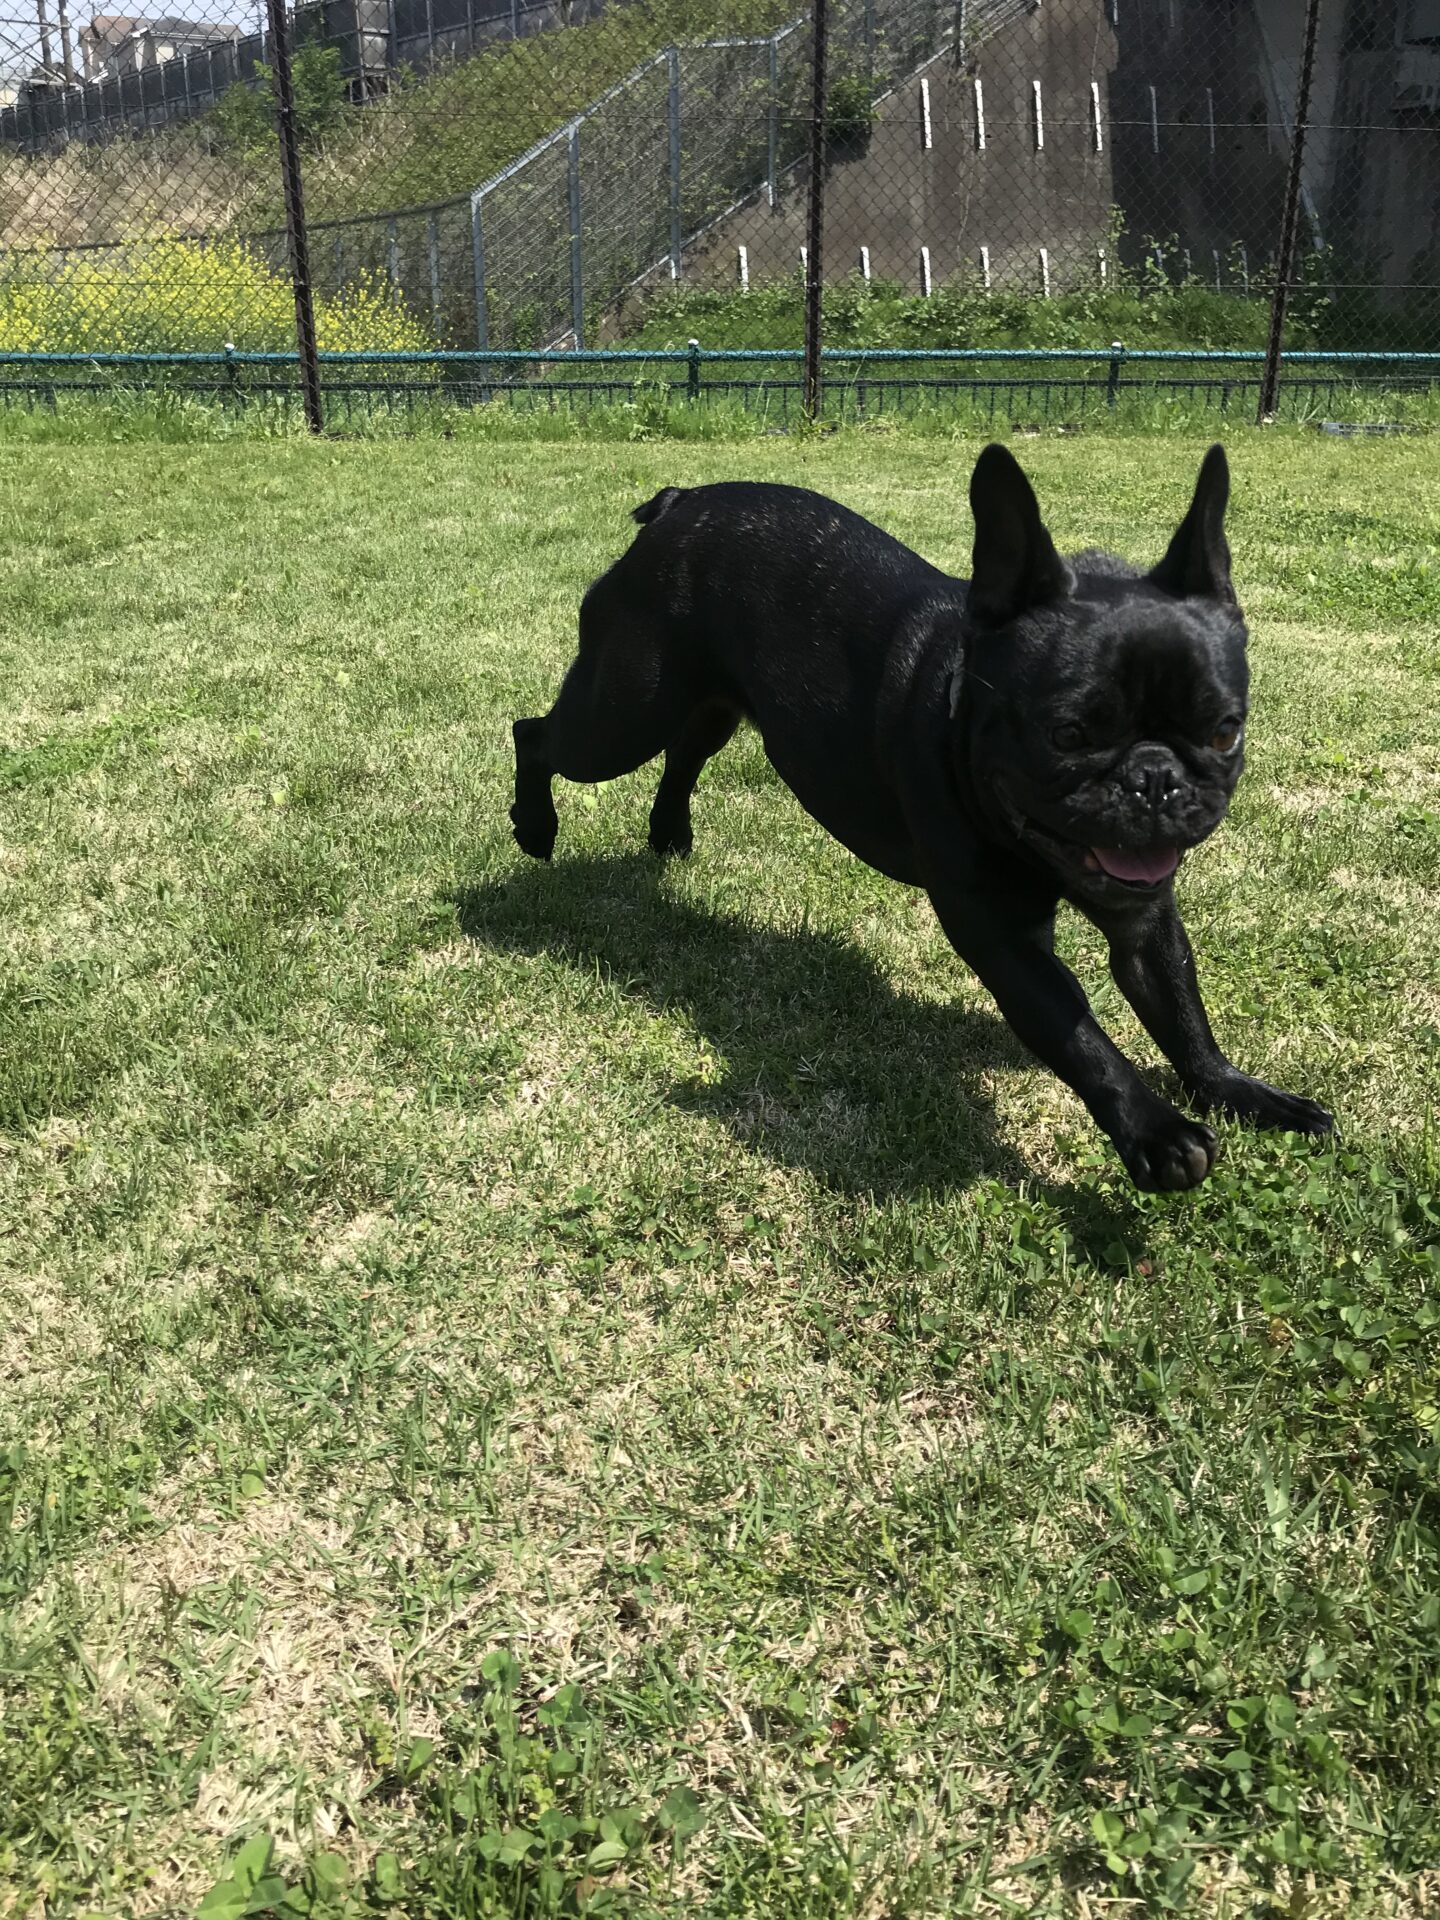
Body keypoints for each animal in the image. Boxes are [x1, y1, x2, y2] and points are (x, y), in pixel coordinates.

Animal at [510, 444, 1333, 1190]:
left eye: (1224, 732)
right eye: (1067, 734)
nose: (1154, 778)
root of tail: (678, 505)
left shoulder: (1144, 918)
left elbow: (1180, 1007)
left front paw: (1239, 1092)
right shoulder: (1001, 938)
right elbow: (1078, 1033)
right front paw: (1155, 1132)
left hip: (701, 704)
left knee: (684, 753)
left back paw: (669, 833)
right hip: (622, 714)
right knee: (539, 736)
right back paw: (535, 827)